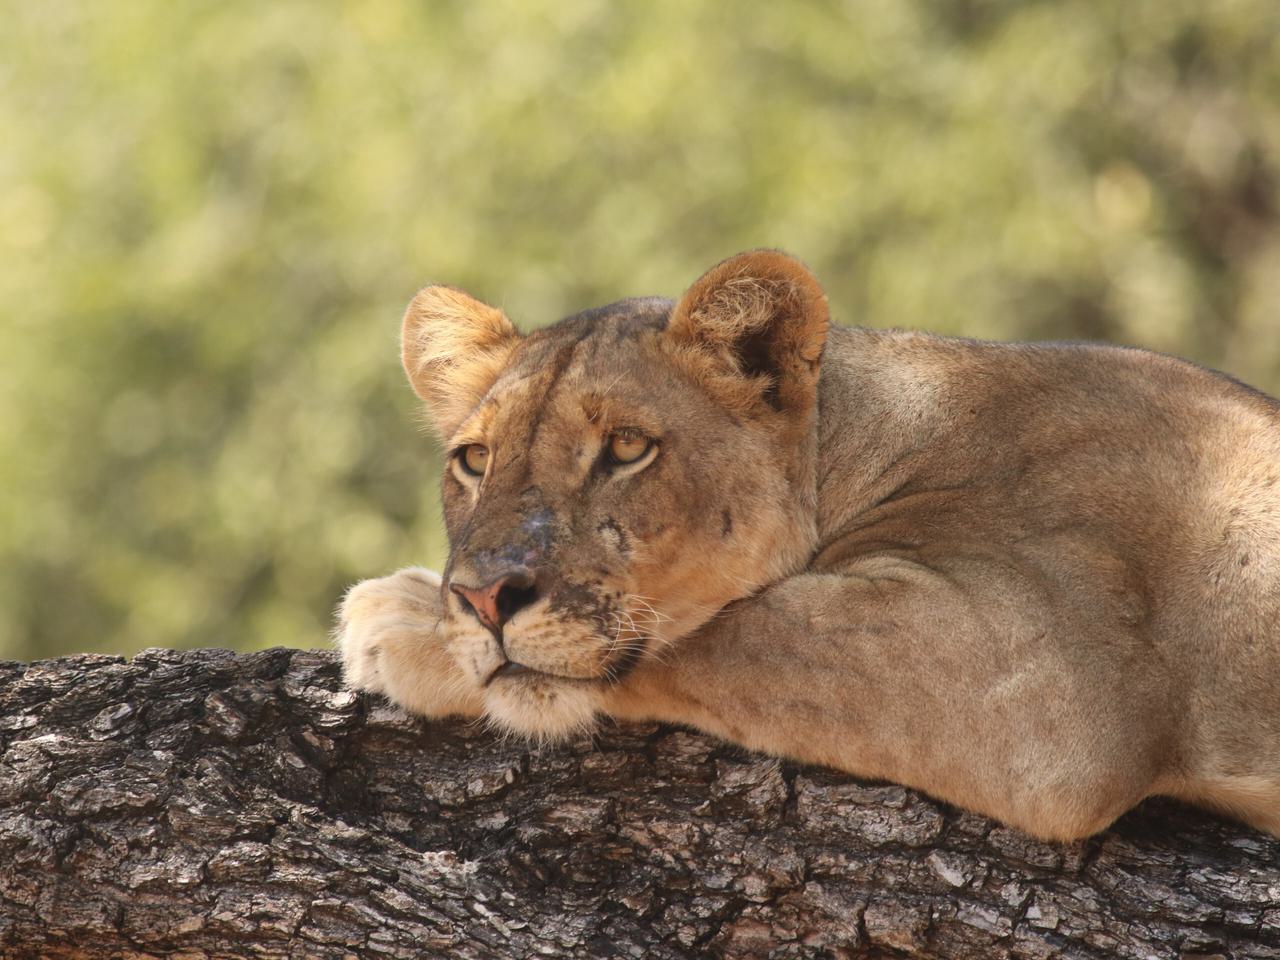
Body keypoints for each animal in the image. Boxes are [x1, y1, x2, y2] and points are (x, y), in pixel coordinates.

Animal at [337, 250, 1280, 841]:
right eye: (474, 460)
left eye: (627, 448)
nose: (482, 599)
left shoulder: (1052, 683)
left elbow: (733, 632)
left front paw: (401, 619)